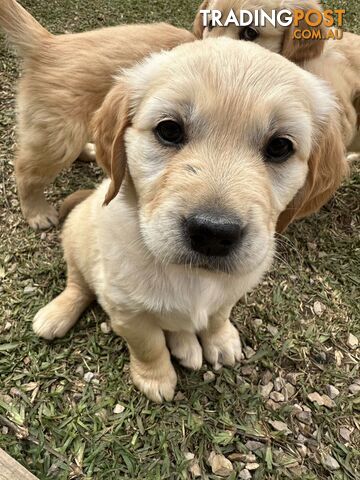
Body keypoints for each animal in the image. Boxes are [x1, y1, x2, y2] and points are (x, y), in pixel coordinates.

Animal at [33, 37, 346, 402]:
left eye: (280, 146)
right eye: (168, 129)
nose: (213, 233)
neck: (193, 276)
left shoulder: (231, 291)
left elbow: (217, 316)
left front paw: (220, 341)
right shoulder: (126, 311)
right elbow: (149, 345)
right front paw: (155, 378)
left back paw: (186, 346)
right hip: (76, 240)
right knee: (78, 285)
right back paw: (56, 315)